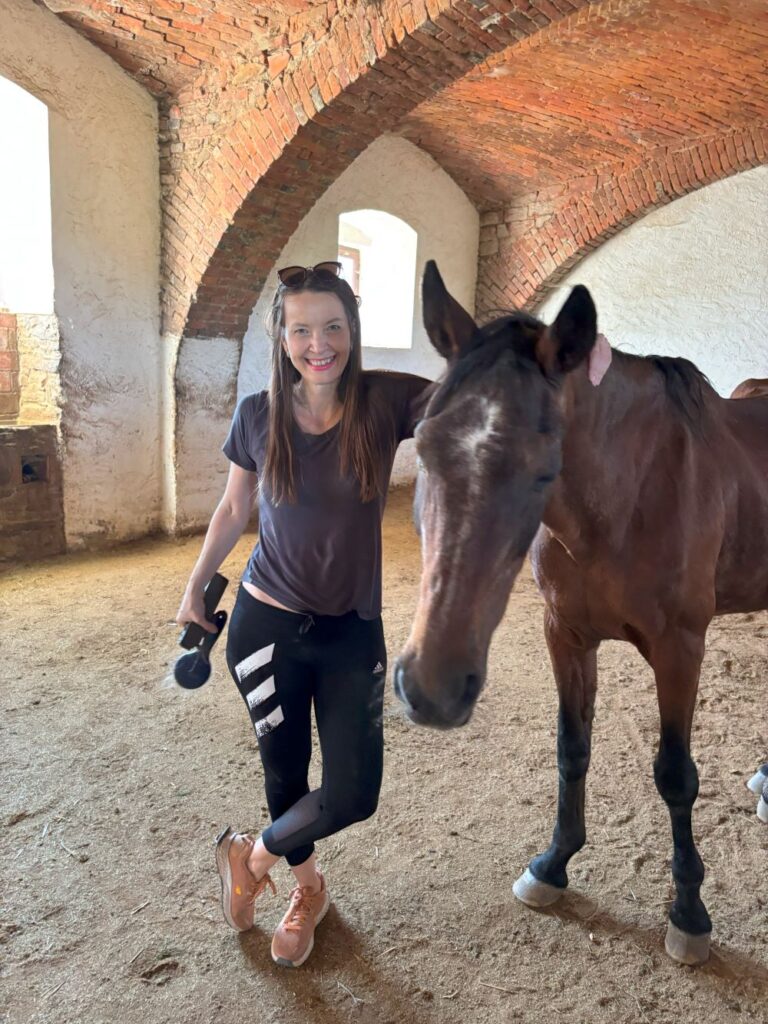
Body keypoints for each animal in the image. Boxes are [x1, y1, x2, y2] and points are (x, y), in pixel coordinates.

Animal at [394, 261, 768, 966]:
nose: (431, 689)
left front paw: (689, 911)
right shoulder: (565, 635)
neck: (629, 495)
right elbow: (572, 749)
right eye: (423, 444)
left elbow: (676, 775)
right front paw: (553, 864)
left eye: (545, 467)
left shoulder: (681, 650)